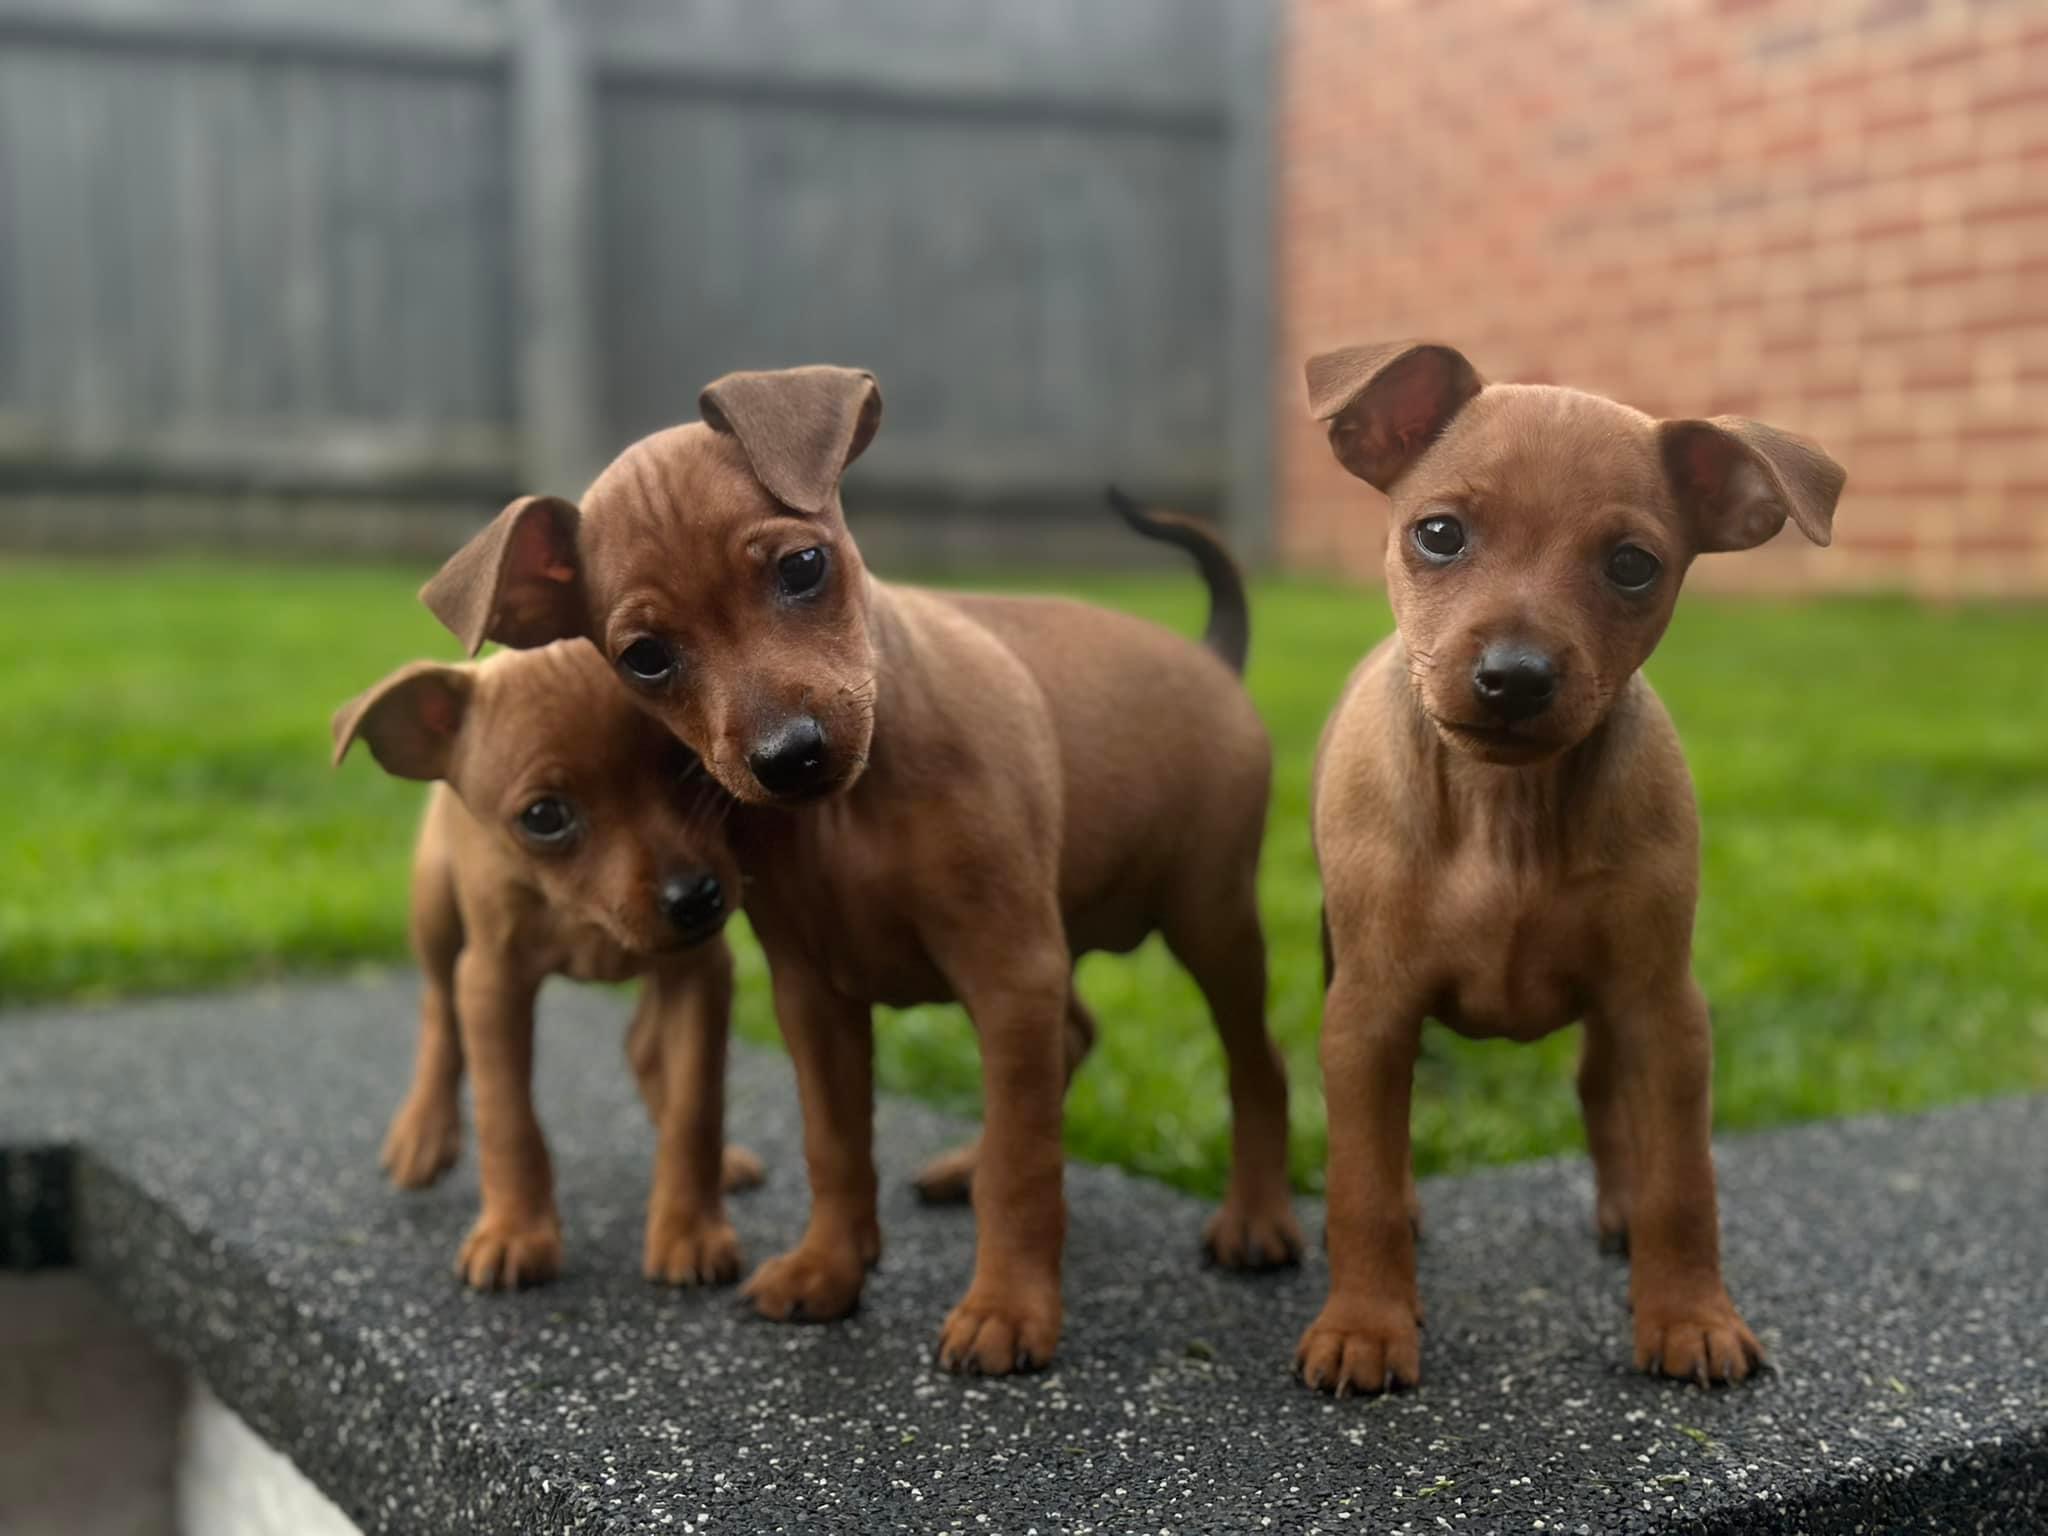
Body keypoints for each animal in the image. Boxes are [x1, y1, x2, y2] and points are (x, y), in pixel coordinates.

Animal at [337, 643, 770, 1294]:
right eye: (544, 817)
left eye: (691, 767)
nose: (695, 898)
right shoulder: (493, 982)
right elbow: (508, 1118)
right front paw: (515, 1232)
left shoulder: (699, 973)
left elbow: (696, 1108)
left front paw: (690, 1229)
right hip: (435, 913)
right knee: (439, 1010)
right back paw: (423, 1133)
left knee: (643, 1045)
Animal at [415, 366, 1294, 1376]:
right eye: (645, 657)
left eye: (803, 567)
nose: (789, 757)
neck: (854, 815)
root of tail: (1209, 656)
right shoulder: (817, 995)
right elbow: (836, 1144)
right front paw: (828, 1270)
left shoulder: (1006, 970)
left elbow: (1026, 1168)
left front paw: (1007, 1307)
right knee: (1065, 1045)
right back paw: (964, 1163)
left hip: (1210, 921)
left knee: (1254, 1065)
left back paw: (1257, 1218)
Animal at [1302, 342, 1851, 1400]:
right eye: (1439, 534)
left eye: (1632, 565)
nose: (1514, 679)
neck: (1506, 814)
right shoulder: (1367, 1012)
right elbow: (1361, 1183)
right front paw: (1365, 1325)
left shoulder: (1664, 1010)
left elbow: (1685, 1182)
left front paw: (1690, 1317)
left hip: (1615, 1014)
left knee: (1605, 1097)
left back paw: (1622, 1211)